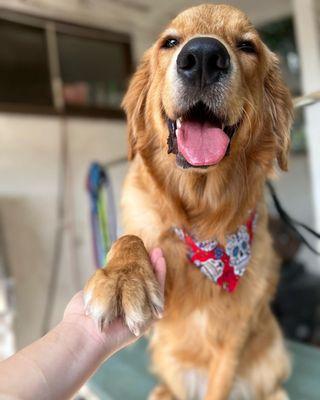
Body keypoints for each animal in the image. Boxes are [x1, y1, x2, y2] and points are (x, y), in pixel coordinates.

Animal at [84, 3, 292, 400]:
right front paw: (122, 277)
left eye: (248, 46)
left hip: (271, 358)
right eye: (170, 42)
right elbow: (130, 238)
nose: (204, 57)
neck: (202, 220)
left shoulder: (234, 337)